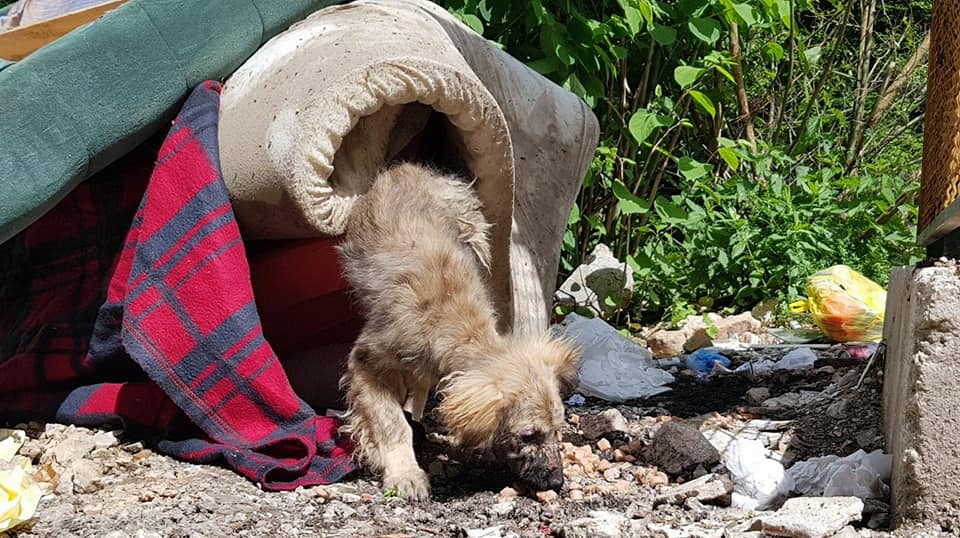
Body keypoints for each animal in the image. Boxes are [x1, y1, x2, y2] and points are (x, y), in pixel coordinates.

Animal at [338, 160, 576, 498]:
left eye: (558, 430)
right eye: (528, 435)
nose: (556, 482)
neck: (454, 323)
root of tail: (408, 167)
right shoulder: (366, 363)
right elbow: (392, 423)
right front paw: (406, 474)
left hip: (476, 235)